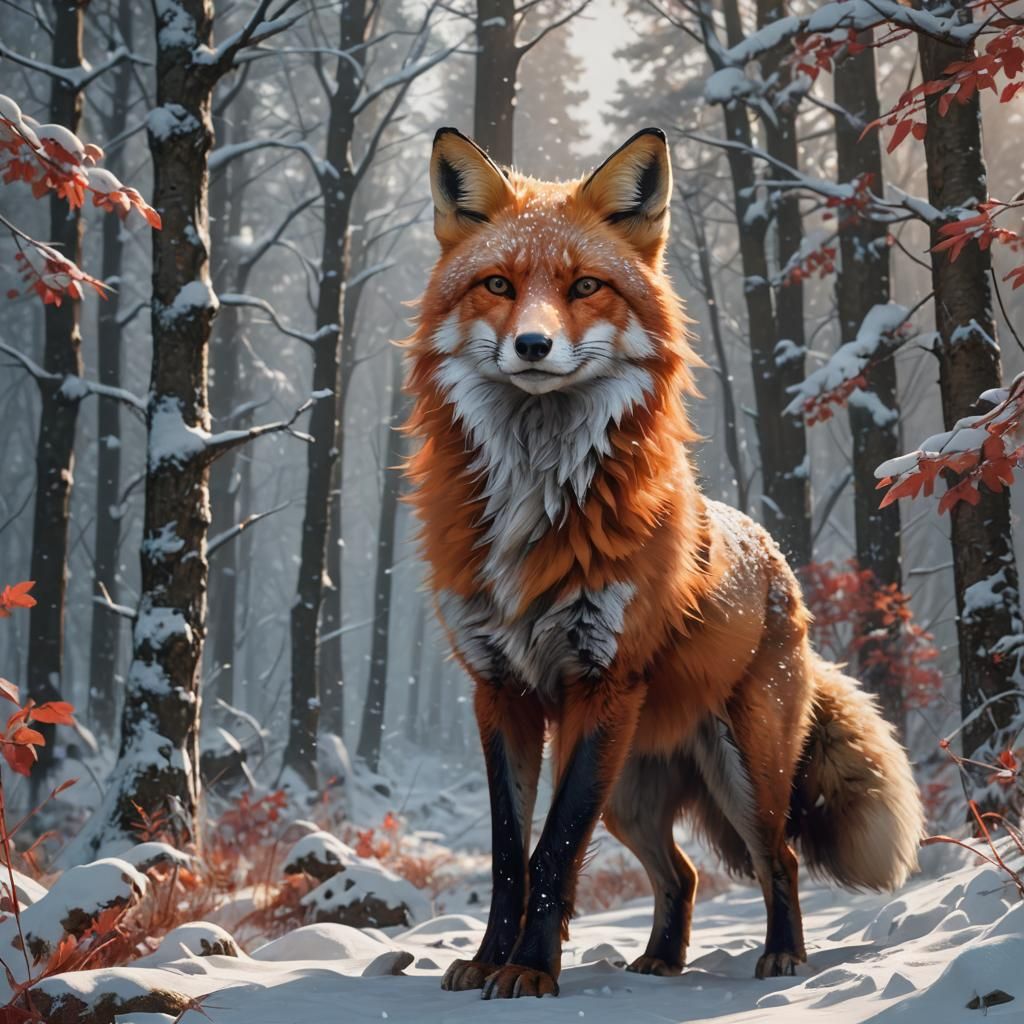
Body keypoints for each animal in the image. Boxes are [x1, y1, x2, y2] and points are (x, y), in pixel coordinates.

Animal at [403, 126, 925, 1000]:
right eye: (498, 284)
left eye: (584, 286)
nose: (533, 345)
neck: (534, 498)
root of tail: (781, 565)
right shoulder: (500, 691)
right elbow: (512, 854)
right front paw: (488, 958)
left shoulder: (601, 685)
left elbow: (553, 853)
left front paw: (531, 968)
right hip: (630, 795)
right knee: (681, 872)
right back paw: (660, 958)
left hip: (744, 771)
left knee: (778, 858)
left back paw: (782, 958)